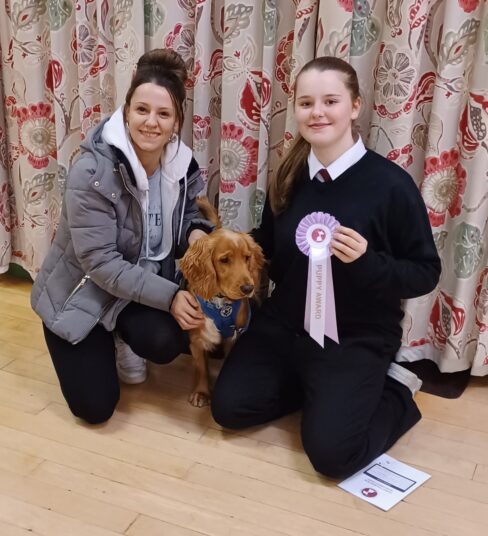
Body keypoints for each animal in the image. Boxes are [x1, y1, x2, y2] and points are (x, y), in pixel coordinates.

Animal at [179, 197, 264, 407]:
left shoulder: (233, 337)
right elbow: (201, 366)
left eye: (247, 258)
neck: (220, 303)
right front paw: (202, 392)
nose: (248, 288)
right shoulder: (197, 337)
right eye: (224, 260)